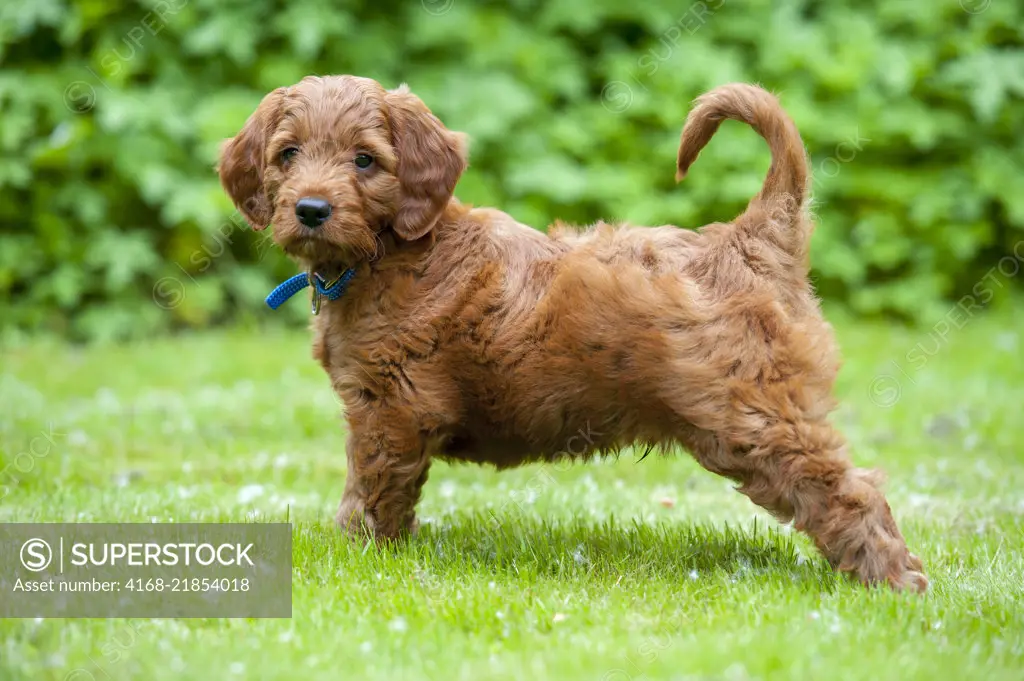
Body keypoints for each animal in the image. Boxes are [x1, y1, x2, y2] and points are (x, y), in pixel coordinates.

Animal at [222, 75, 929, 589]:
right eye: (288, 155)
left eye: (366, 160)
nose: (311, 209)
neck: (389, 253)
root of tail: (752, 236)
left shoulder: (390, 410)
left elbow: (371, 490)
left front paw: (358, 557)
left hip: (756, 417)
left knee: (851, 492)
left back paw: (895, 584)